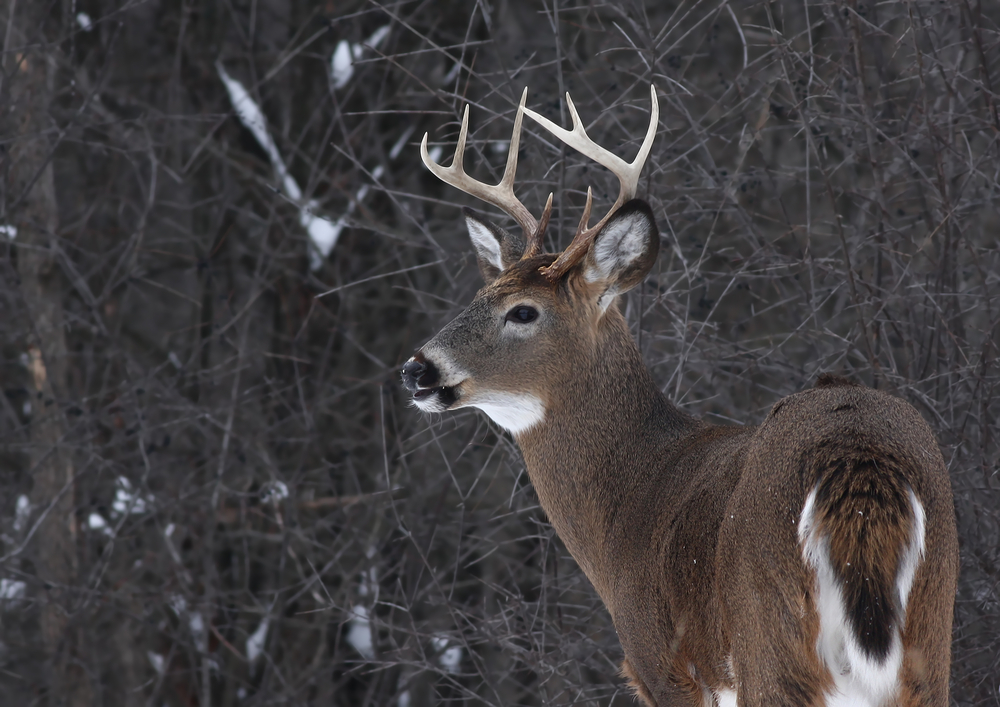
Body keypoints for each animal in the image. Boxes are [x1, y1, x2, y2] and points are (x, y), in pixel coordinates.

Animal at [402, 88, 956, 707]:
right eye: (480, 294)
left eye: (522, 311)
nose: (416, 369)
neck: (628, 504)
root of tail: (857, 460)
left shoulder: (661, 663)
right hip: (930, 642)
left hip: (770, 639)